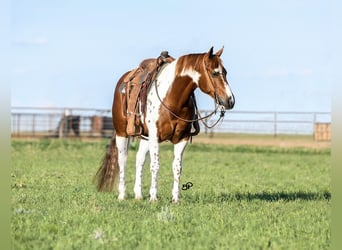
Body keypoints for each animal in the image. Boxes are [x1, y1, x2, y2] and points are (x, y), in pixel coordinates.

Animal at [95, 46, 236, 203]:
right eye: (215, 73)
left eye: (225, 72)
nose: (230, 100)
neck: (173, 98)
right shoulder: (155, 136)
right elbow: (155, 165)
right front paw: (153, 198)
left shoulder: (182, 138)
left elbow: (177, 167)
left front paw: (175, 199)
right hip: (122, 133)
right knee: (122, 160)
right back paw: (122, 195)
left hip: (145, 137)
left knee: (139, 159)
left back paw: (138, 195)